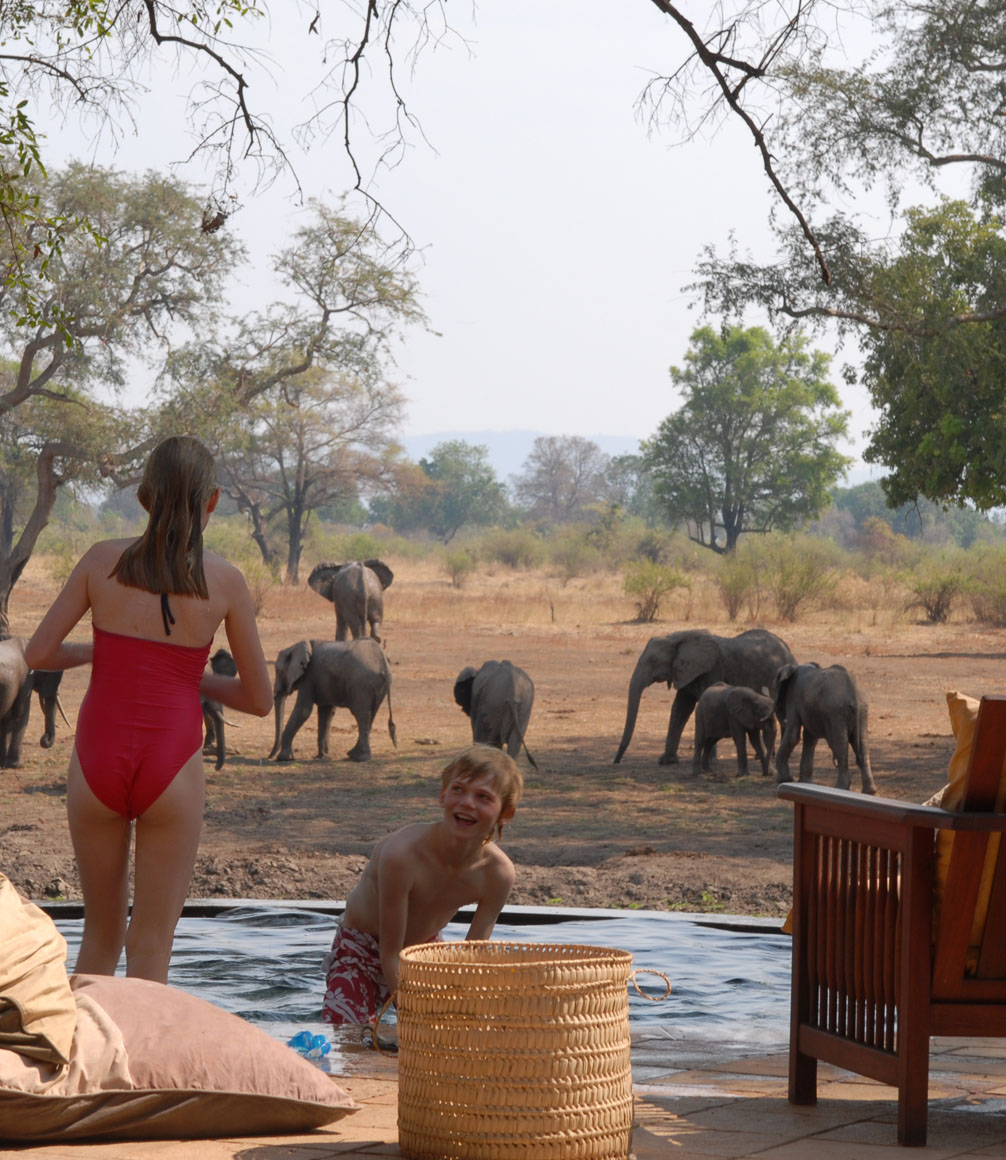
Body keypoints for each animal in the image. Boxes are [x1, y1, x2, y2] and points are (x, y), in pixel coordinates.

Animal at [614, 628, 795, 766]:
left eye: (653, 662)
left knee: (783, 715)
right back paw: (763, 756)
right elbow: (680, 708)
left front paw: (711, 761)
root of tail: (787, 648)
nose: (616, 761)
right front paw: (667, 761)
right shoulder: (686, 672)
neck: (676, 638)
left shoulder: (712, 669)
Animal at [772, 662, 877, 794]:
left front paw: (784, 780)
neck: (793, 668)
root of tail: (854, 692)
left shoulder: (793, 697)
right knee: (863, 745)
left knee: (840, 744)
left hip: (836, 712)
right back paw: (870, 791)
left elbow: (793, 735)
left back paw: (841, 788)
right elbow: (811, 739)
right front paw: (805, 783)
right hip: (863, 711)